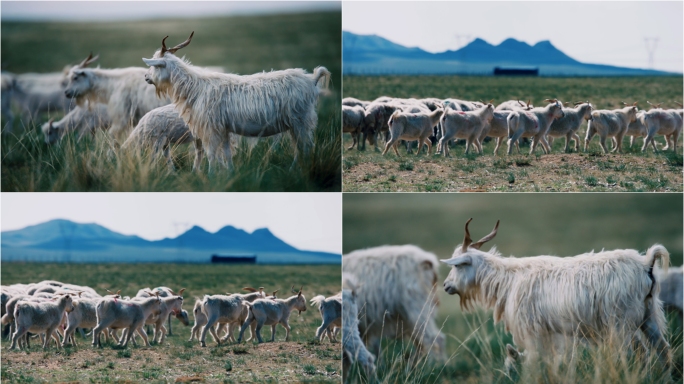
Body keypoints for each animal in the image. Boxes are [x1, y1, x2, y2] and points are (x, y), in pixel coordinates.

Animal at [143, 33, 330, 171]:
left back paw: (297, 170)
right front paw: (230, 174)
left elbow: (211, 155)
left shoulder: (211, 128)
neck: (195, 87)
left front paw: (211, 177)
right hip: (296, 123)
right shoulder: (224, 129)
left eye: (155, 65)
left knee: (305, 147)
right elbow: (226, 153)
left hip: (301, 120)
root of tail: (311, 79)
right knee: (301, 147)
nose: (146, 77)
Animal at [440, 218, 672, 368]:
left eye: (458, 265)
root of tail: (646, 264)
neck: (509, 280)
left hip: (621, 324)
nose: (445, 285)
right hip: (649, 317)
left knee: (633, 355)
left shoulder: (535, 333)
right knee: (663, 351)